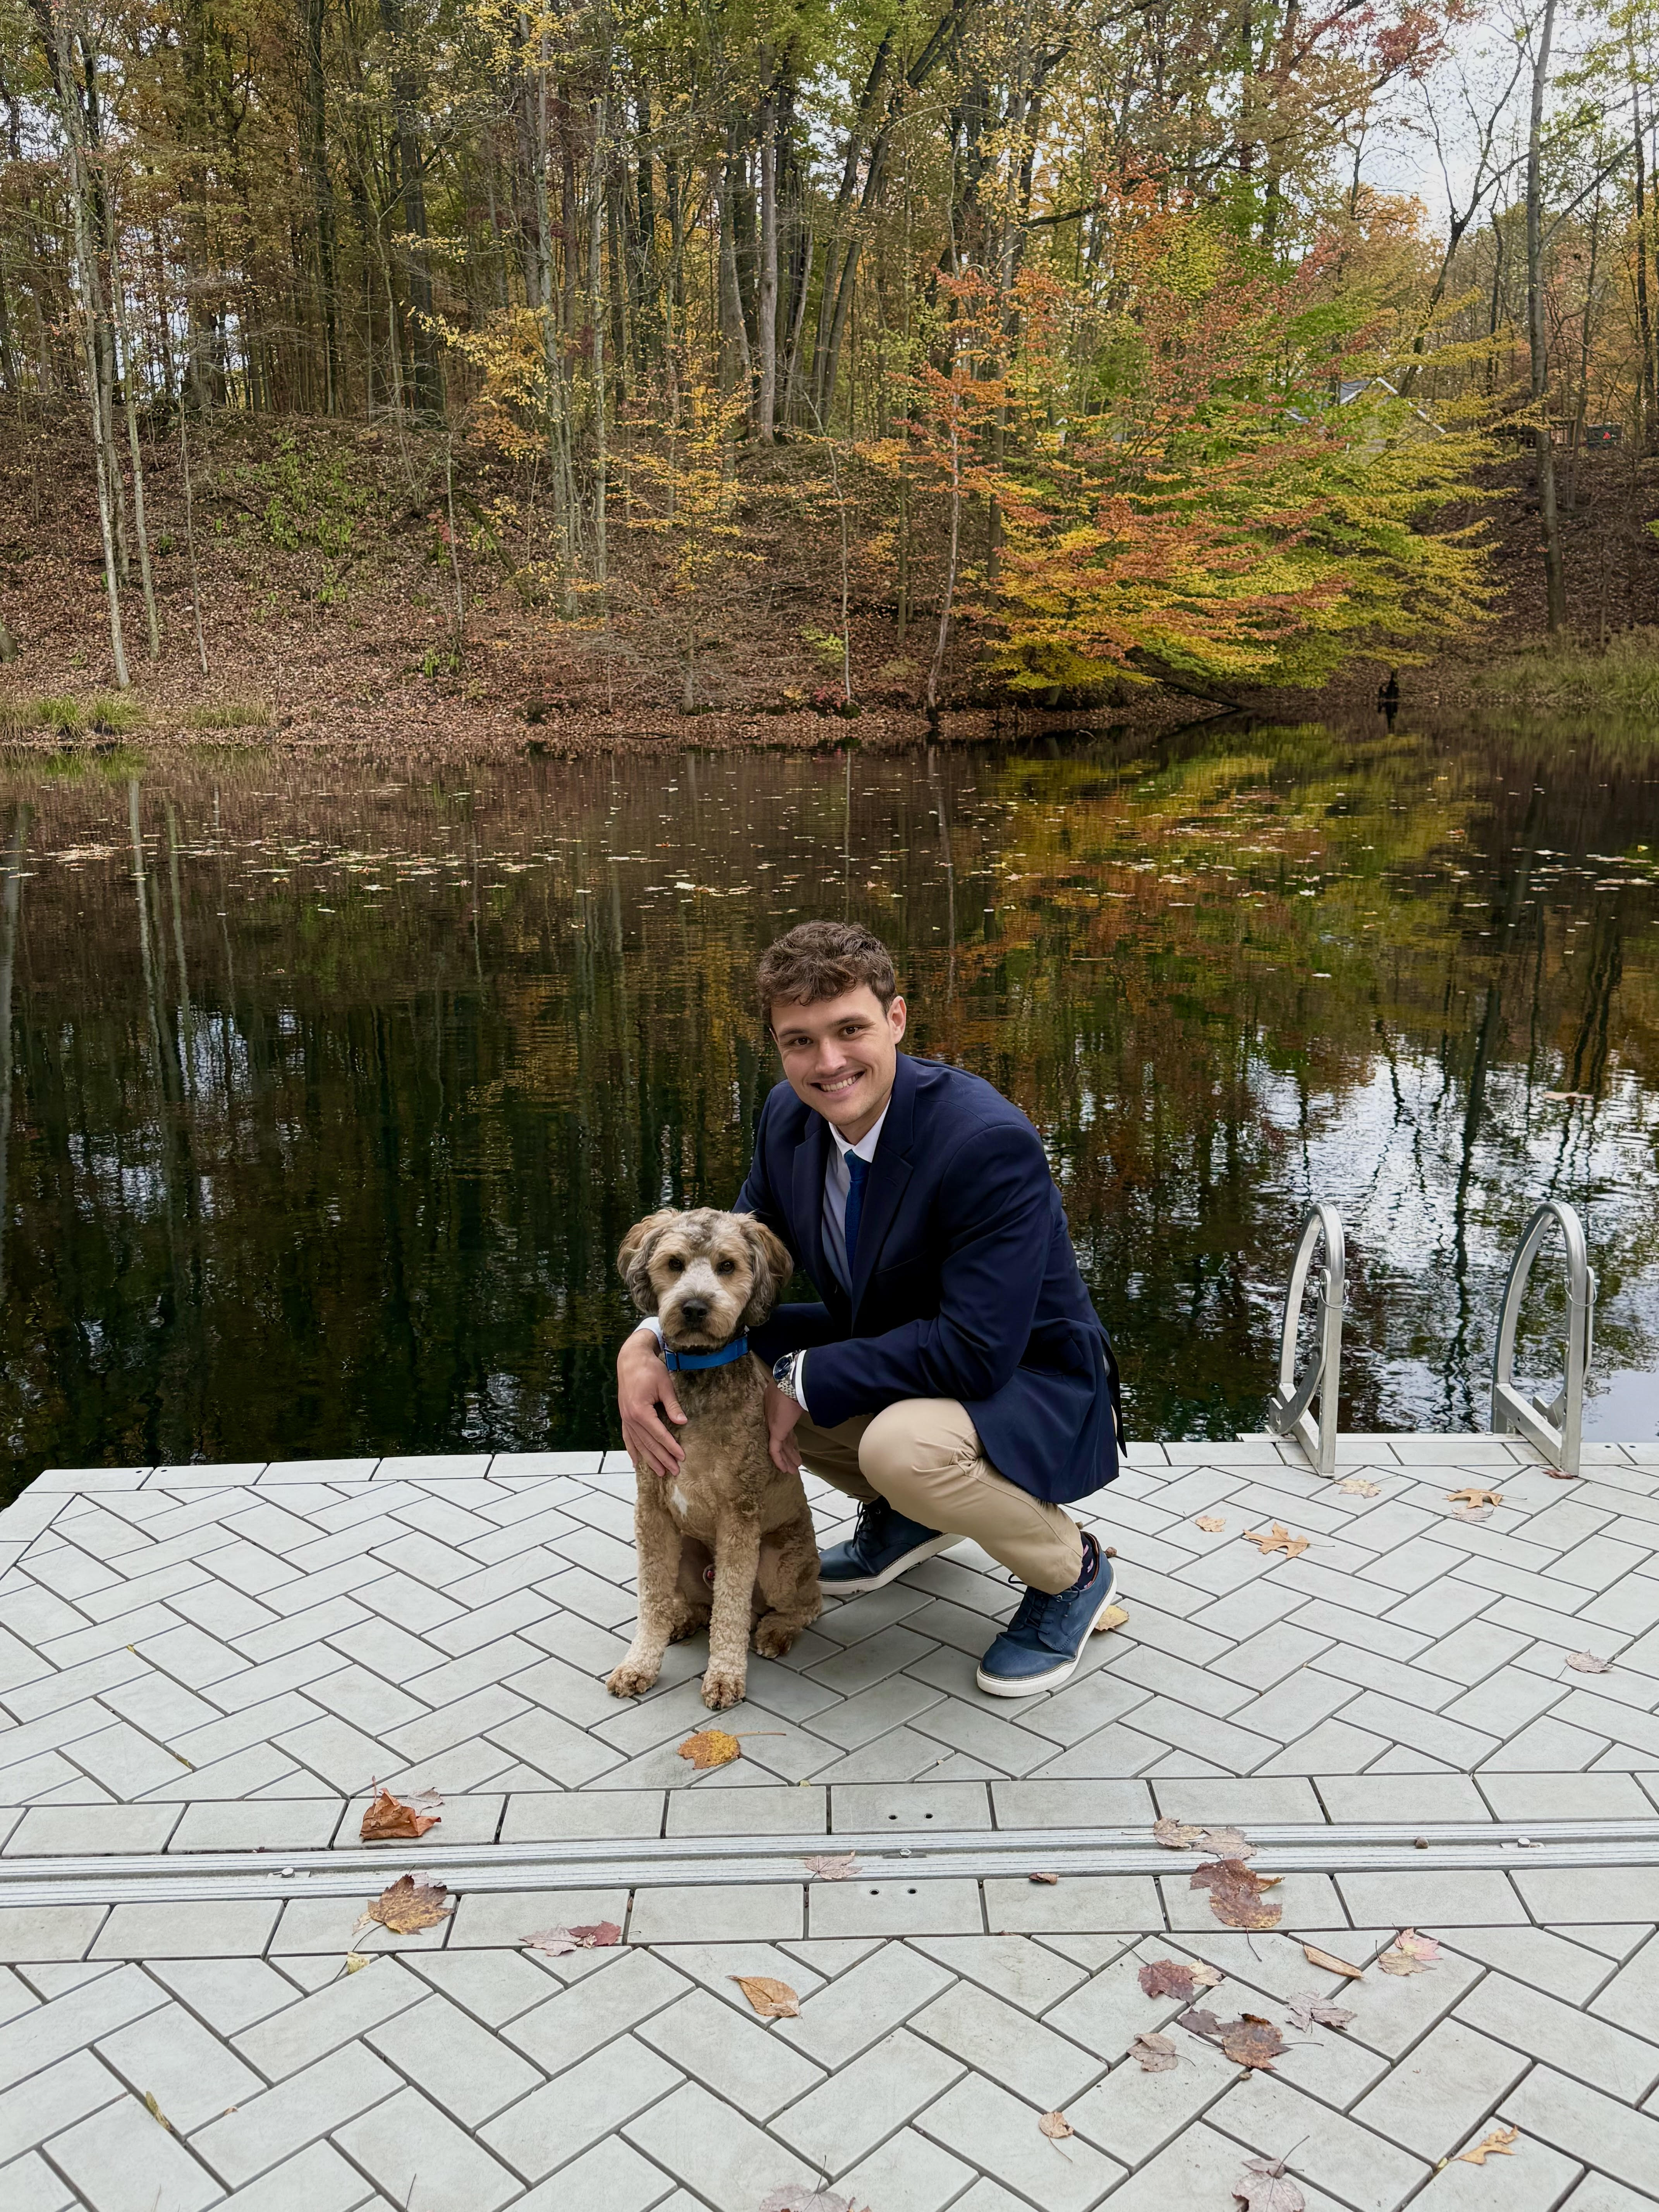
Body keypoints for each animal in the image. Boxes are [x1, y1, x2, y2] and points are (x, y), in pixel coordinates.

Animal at [606, 1206, 823, 1711]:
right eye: (674, 1263)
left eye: (727, 1265)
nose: (694, 1307)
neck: (699, 1376)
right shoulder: (652, 1509)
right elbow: (651, 1598)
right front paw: (639, 1664)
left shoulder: (738, 1515)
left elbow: (730, 1606)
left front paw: (724, 1677)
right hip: (687, 1557)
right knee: (692, 1602)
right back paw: (682, 1619)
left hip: (781, 1563)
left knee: (802, 1606)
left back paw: (774, 1631)